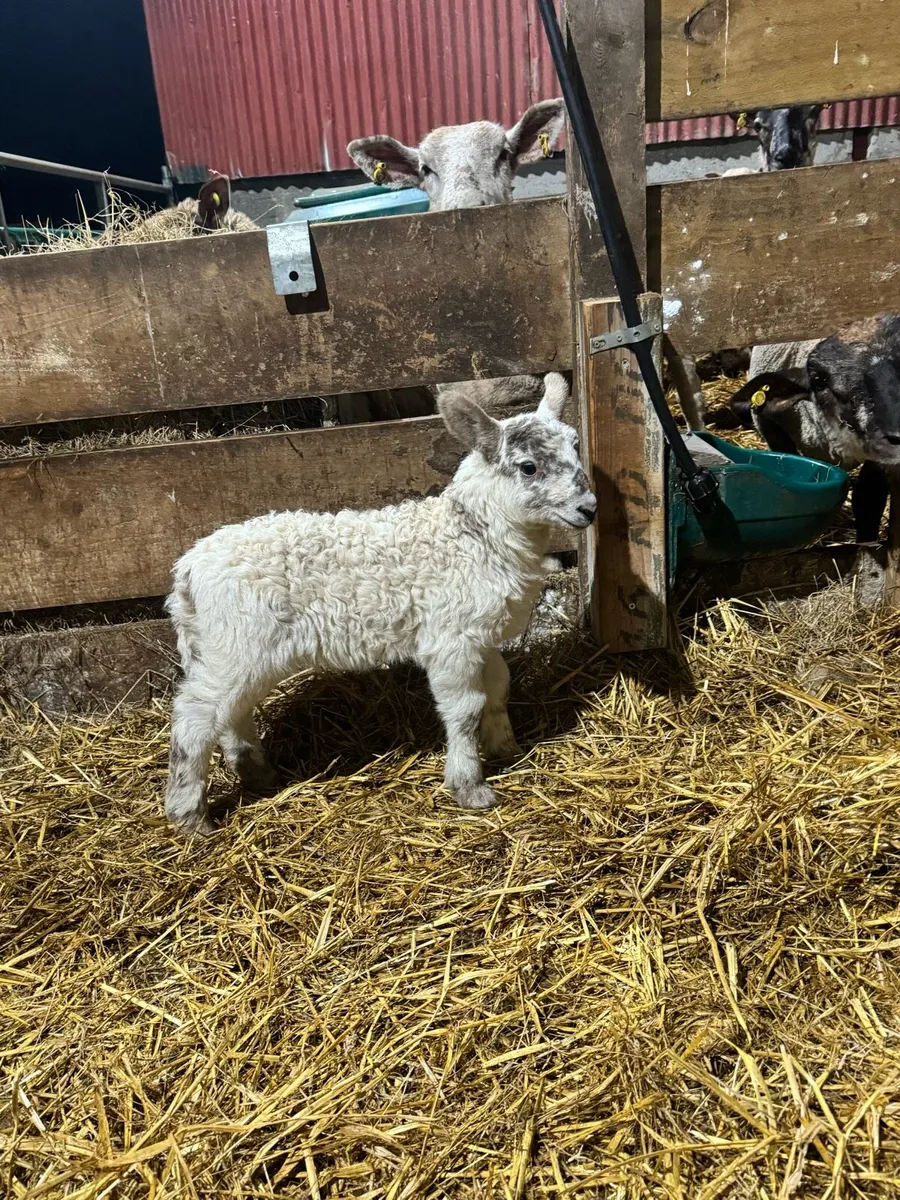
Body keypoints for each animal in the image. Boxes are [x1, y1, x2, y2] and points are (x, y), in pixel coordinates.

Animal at [164, 372, 597, 835]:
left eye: (575, 447)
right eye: (528, 466)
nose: (588, 509)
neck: (472, 536)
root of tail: (187, 570)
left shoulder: (482, 635)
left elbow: (499, 689)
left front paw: (506, 748)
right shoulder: (450, 639)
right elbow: (465, 709)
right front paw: (470, 786)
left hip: (235, 651)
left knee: (230, 712)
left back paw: (257, 774)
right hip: (234, 642)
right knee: (194, 718)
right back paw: (190, 816)